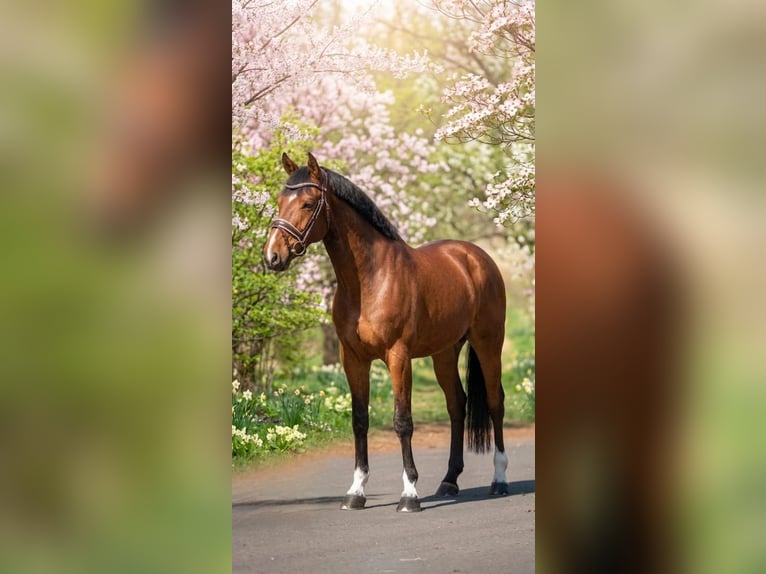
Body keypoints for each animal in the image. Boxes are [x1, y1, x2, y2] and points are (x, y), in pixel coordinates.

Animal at [263, 152, 509, 512]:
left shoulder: (398, 356)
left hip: (488, 344)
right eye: (279, 201)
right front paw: (356, 492)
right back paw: (449, 481)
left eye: (308, 203)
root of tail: (476, 258)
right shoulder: (352, 358)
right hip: (444, 352)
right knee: (457, 405)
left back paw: (499, 480)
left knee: (495, 403)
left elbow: (402, 421)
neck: (370, 279)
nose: (272, 256)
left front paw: (409, 495)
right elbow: (359, 420)